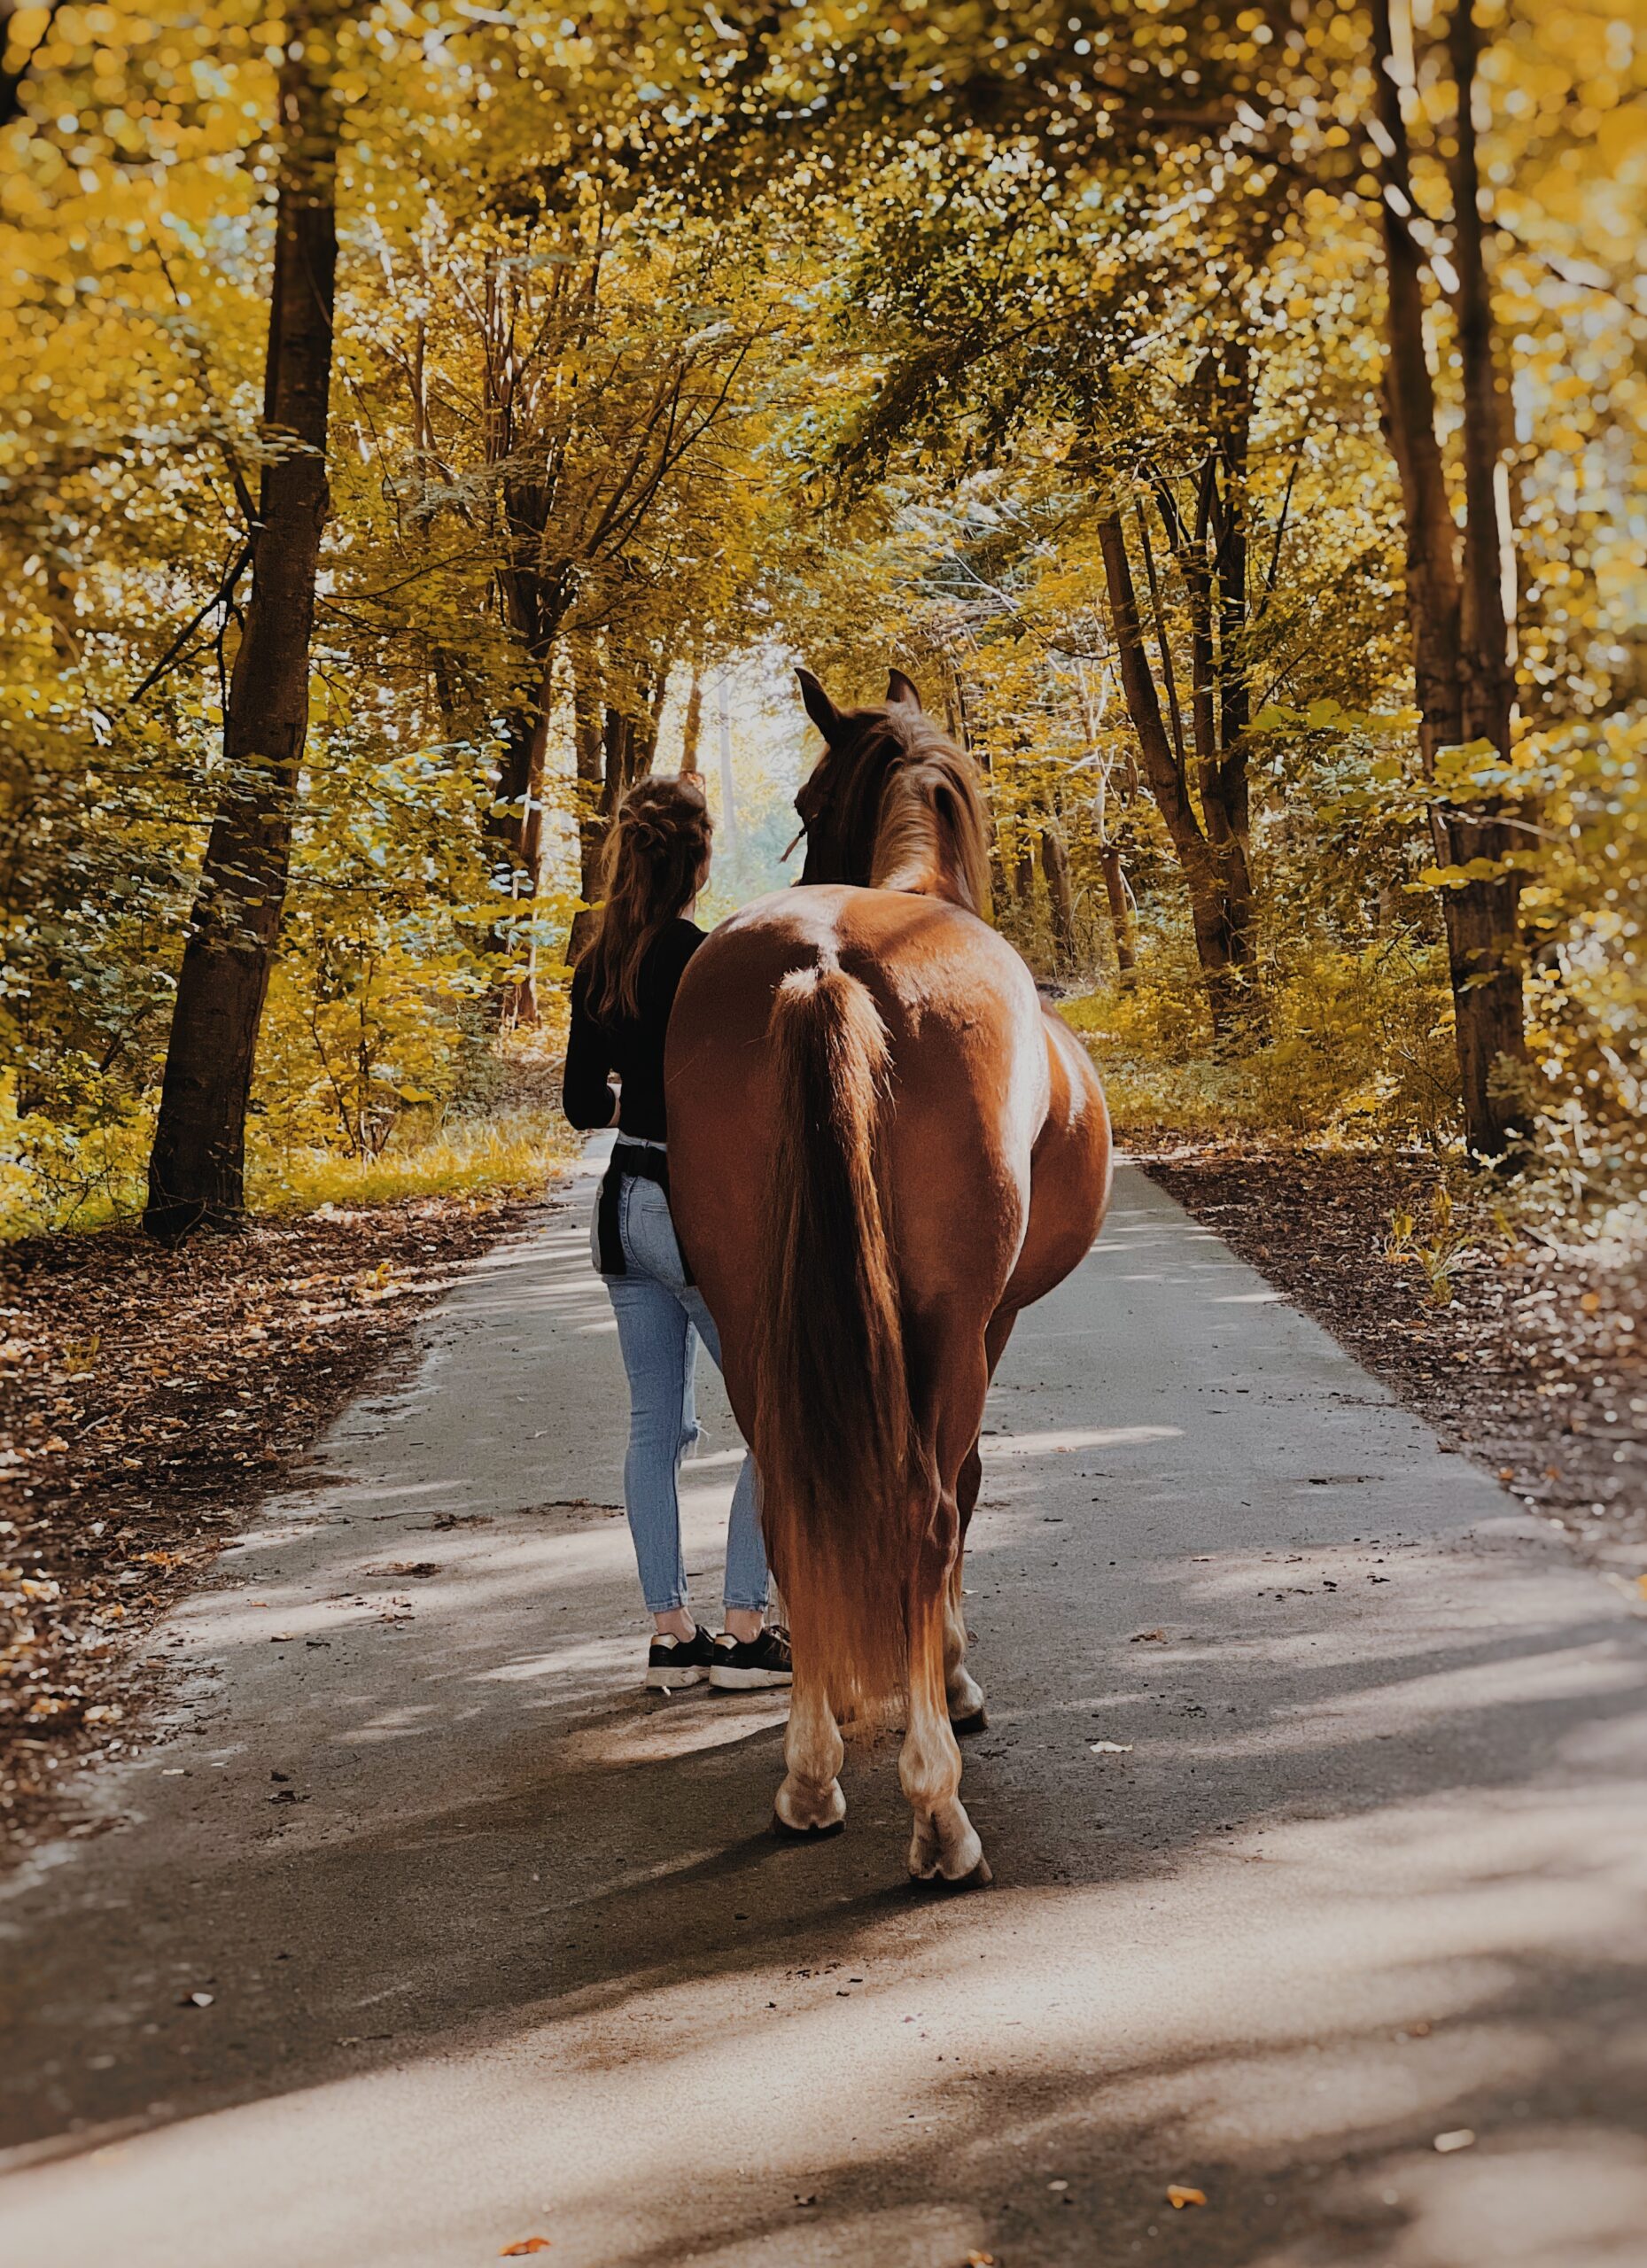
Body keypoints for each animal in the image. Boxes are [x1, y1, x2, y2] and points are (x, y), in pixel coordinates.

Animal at [665, 666, 1111, 1887]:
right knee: (922, 1506)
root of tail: (823, 962)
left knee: (787, 1503)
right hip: (950, 1325)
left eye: (811, 797)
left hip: (747, 1314)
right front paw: (951, 1683)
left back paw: (809, 1776)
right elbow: (965, 1491)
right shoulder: (986, 1321)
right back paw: (936, 1815)